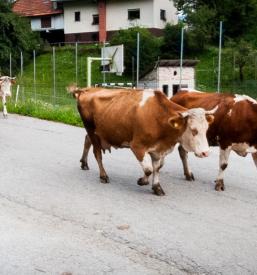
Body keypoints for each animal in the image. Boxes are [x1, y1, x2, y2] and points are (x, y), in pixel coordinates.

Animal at [69, 87, 215, 197]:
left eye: (206, 129)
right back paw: (103, 176)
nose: (205, 153)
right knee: (97, 153)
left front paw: (157, 187)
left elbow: (157, 168)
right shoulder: (137, 146)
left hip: (98, 133)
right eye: (193, 130)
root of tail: (87, 90)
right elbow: (148, 169)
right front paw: (142, 181)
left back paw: (84, 163)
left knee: (87, 141)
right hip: (91, 130)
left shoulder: (158, 149)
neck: (158, 116)